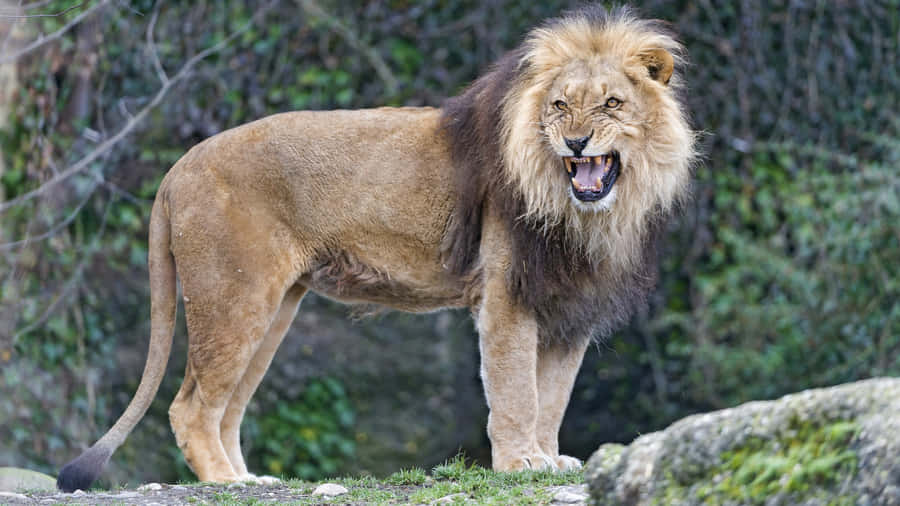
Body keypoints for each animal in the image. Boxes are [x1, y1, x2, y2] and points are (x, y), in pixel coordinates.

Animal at [57, 6, 694, 491]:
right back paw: (225, 484)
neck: (582, 212)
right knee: (190, 407)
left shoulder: (567, 306)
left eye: (612, 104)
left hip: (273, 308)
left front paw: (548, 458)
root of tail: (177, 169)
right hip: (234, 298)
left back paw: (249, 478)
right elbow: (517, 390)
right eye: (560, 105)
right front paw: (519, 464)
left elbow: (553, 394)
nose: (576, 141)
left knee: (227, 407)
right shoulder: (508, 296)